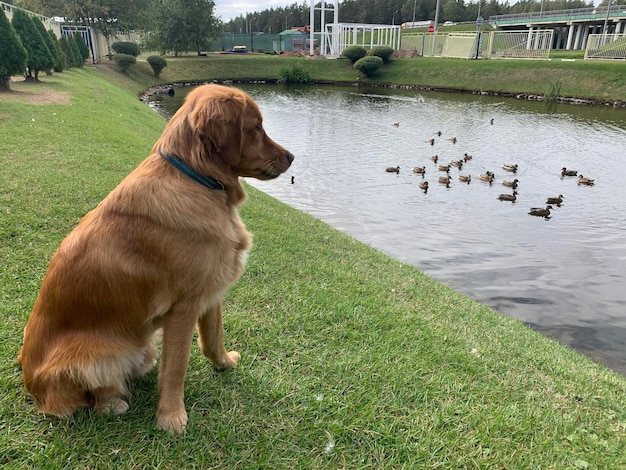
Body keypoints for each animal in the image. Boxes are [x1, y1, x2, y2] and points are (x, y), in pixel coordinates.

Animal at [18, 83, 294, 434]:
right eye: (256, 127)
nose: (291, 157)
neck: (197, 179)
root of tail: (32, 387)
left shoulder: (210, 290)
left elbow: (213, 338)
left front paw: (224, 364)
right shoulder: (183, 307)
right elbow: (176, 367)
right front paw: (171, 416)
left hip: (142, 347)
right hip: (100, 355)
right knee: (82, 397)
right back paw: (112, 402)